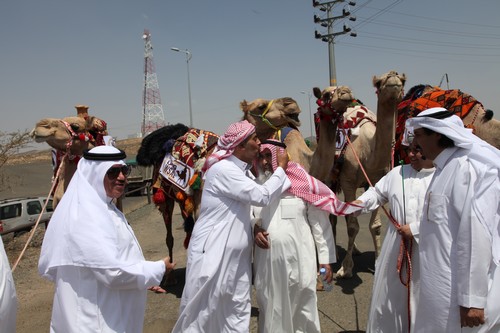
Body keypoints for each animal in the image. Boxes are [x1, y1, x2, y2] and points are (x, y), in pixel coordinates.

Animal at [310, 70, 408, 278]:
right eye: (379, 82)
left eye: (403, 80)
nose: (393, 77)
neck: (368, 152)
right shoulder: (347, 182)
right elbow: (353, 225)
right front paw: (345, 269)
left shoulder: (377, 183)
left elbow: (375, 226)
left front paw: (378, 263)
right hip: (331, 180)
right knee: (336, 217)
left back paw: (354, 249)